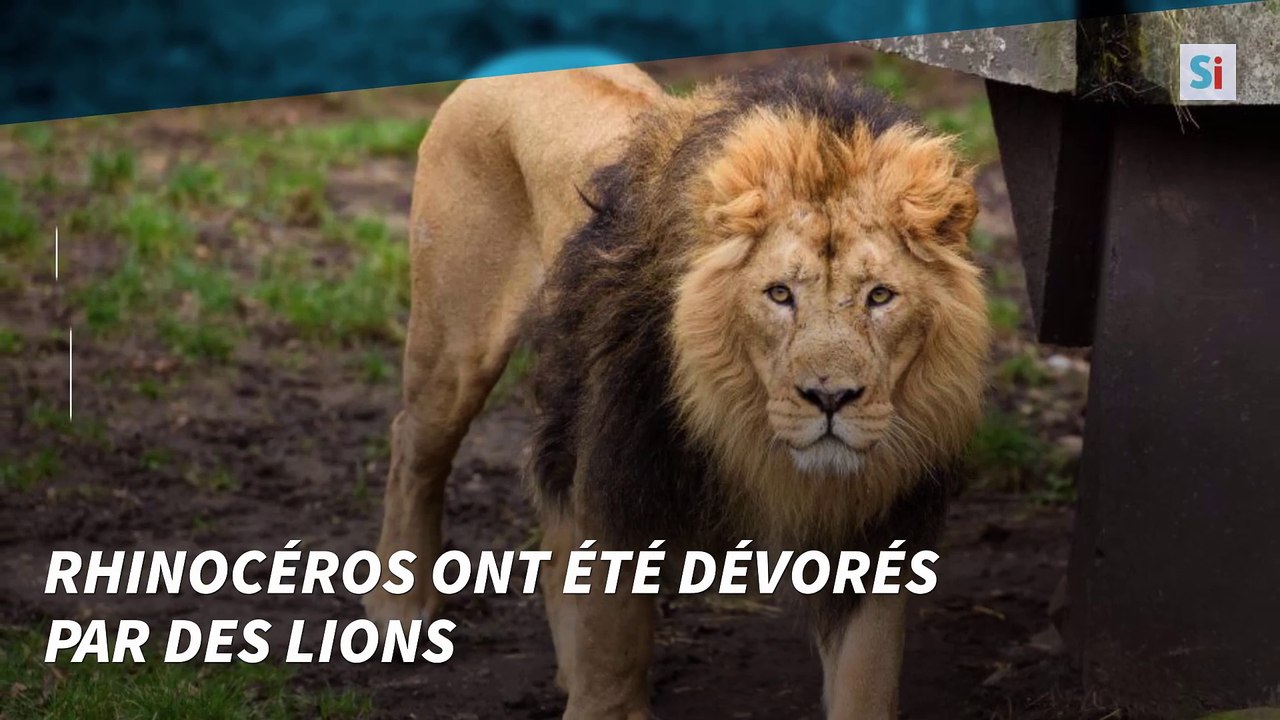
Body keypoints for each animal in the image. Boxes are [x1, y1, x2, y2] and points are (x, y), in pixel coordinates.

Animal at [364, 62, 989, 719]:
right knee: (414, 445)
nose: (830, 399)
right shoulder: (618, 485)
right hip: (455, 346)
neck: (743, 425)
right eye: (779, 294)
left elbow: (865, 681)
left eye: (880, 296)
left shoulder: (875, 536)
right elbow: (610, 663)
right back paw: (399, 608)